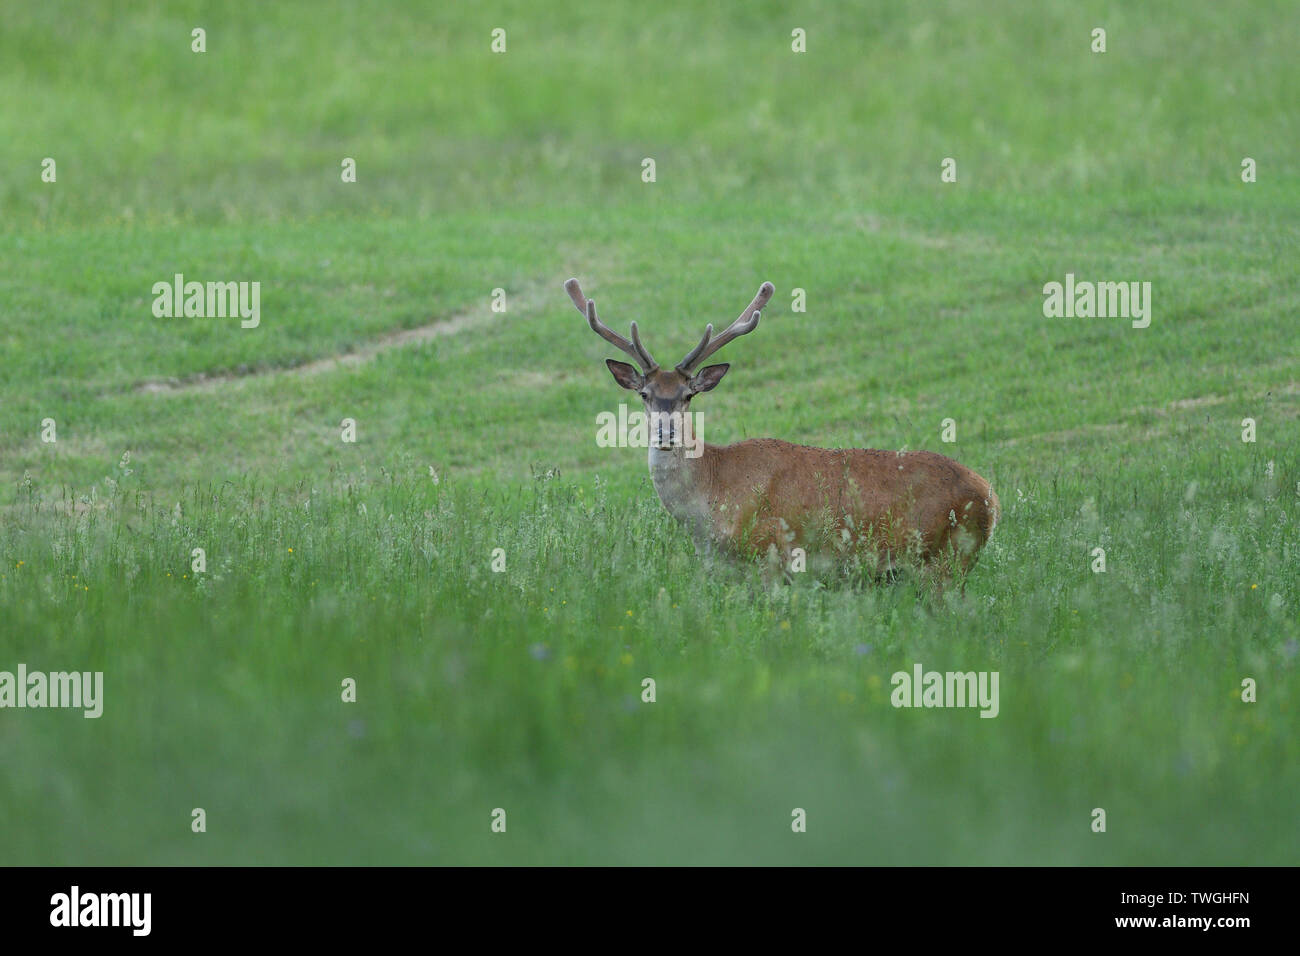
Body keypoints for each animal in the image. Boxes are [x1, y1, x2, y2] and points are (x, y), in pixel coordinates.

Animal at [564, 277, 998, 590]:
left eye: (688, 395)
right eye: (645, 393)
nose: (666, 431)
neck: (710, 504)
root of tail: (992, 498)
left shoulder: (770, 553)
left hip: (947, 559)